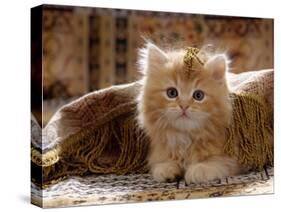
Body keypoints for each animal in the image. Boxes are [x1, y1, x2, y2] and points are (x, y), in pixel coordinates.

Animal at [137, 42, 244, 183]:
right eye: (172, 93)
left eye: (198, 95)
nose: (184, 106)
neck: (185, 139)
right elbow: (162, 163)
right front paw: (167, 169)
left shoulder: (233, 157)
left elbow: (218, 162)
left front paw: (198, 170)